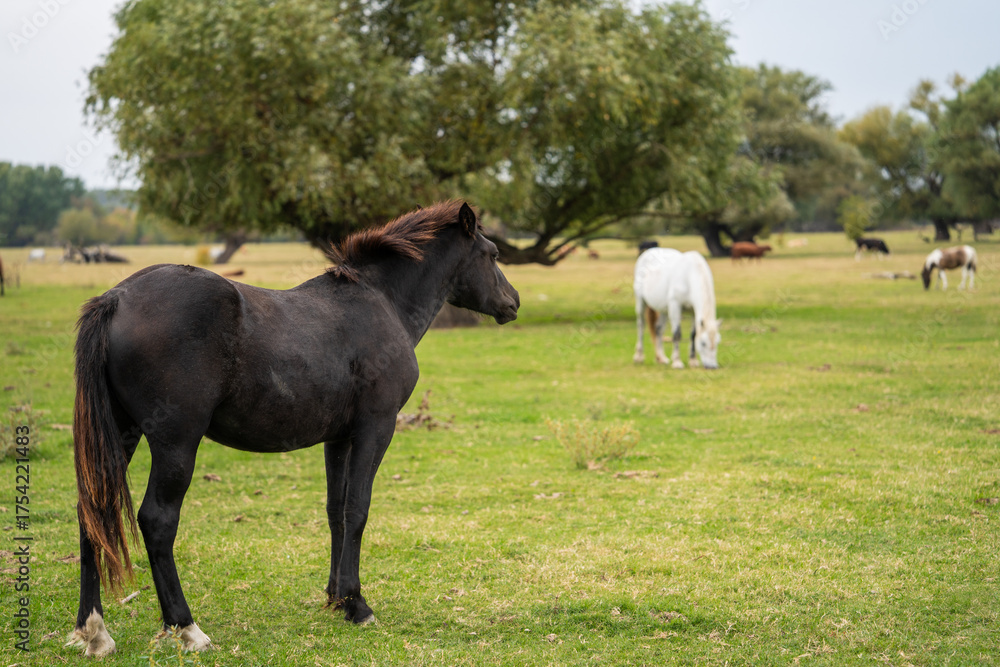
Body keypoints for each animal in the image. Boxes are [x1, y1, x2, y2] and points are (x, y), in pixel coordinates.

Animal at [68, 201, 519, 657]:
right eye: (493, 253)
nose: (513, 302)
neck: (381, 303)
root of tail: (116, 298)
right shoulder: (376, 428)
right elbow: (357, 510)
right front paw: (357, 604)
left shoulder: (338, 439)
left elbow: (336, 512)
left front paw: (336, 598)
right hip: (176, 443)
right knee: (158, 520)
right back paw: (186, 627)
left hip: (122, 435)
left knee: (92, 511)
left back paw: (94, 631)